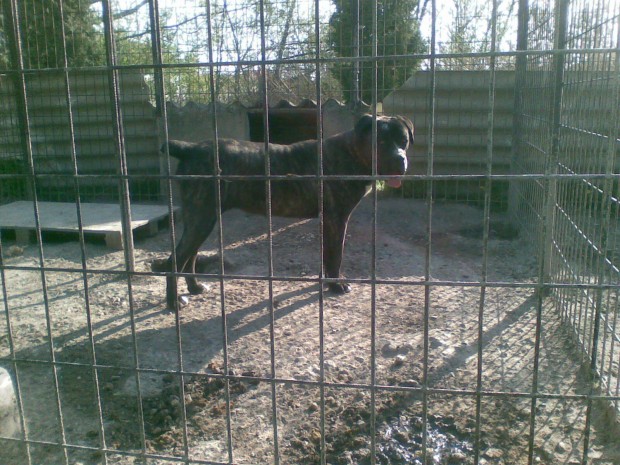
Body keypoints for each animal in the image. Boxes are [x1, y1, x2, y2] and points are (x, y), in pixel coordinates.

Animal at [157, 113, 414, 310]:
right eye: (381, 143)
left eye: (403, 141)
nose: (399, 160)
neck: (352, 154)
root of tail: (191, 148)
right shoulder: (336, 220)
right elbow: (335, 256)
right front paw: (335, 285)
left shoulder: (329, 222)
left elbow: (328, 256)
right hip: (201, 217)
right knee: (174, 260)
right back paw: (173, 303)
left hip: (202, 218)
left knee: (189, 257)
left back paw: (195, 287)